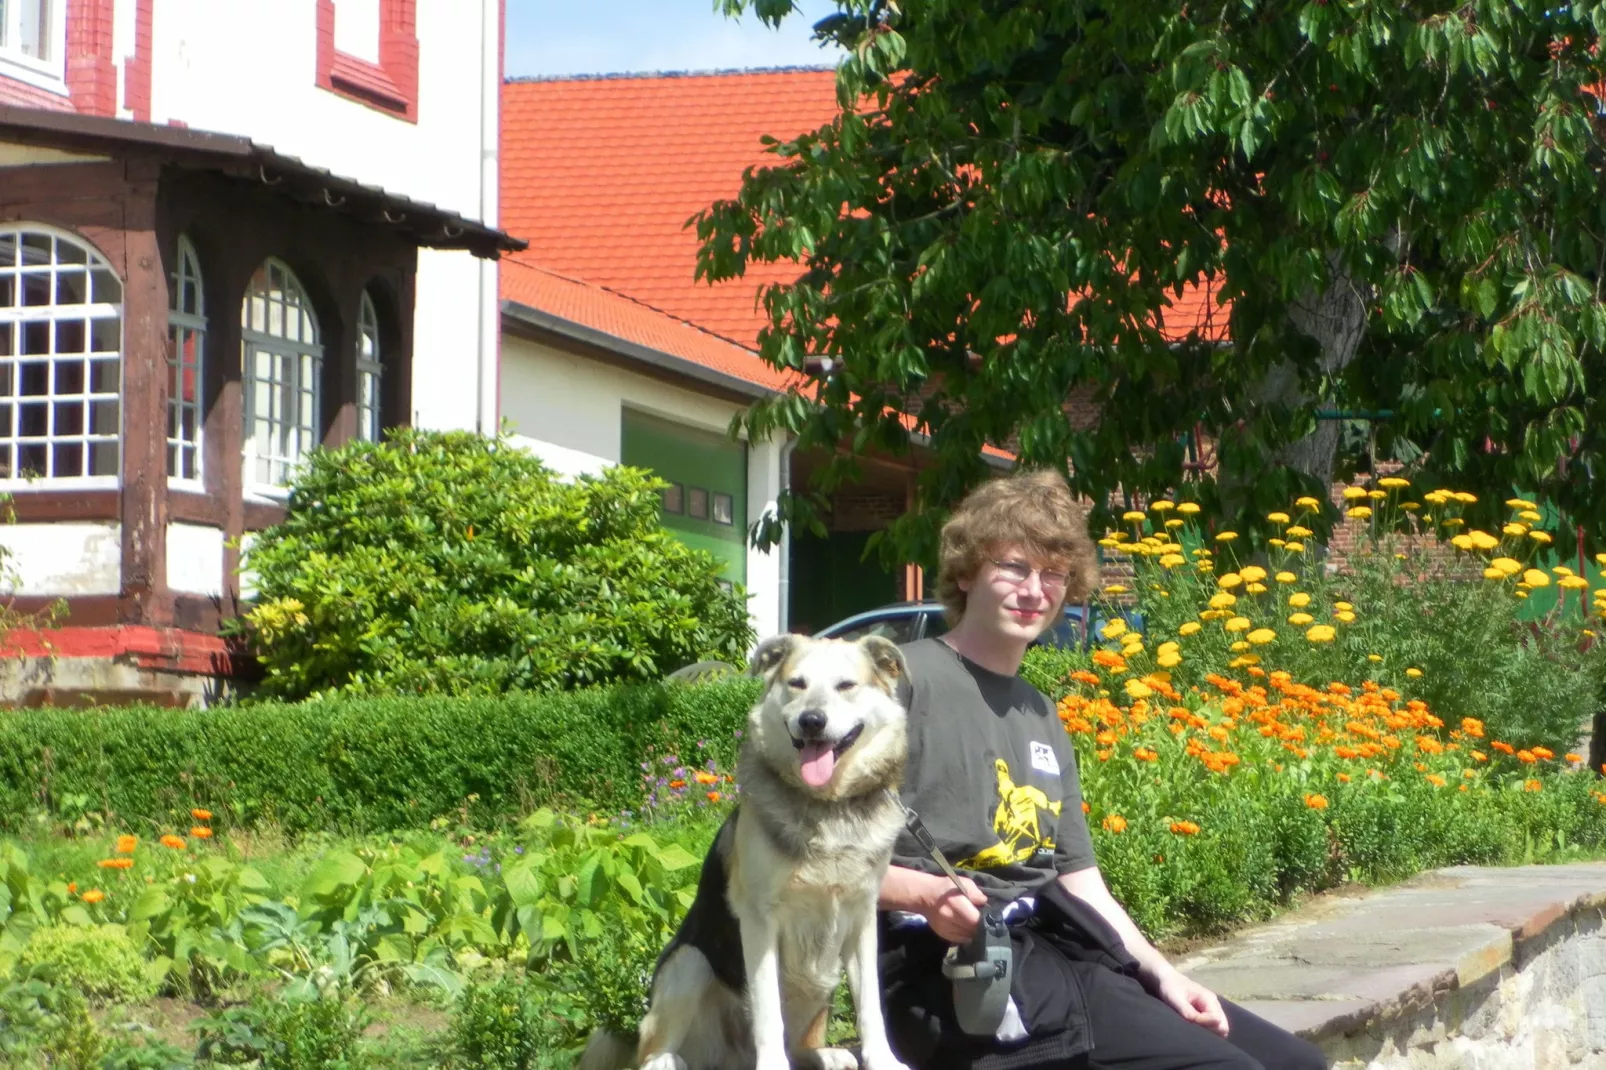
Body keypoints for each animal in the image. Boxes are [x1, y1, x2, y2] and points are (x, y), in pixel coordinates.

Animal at [584, 633, 918, 1066]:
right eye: (797, 683)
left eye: (846, 686)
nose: (812, 721)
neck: (826, 805)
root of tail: (732, 1059)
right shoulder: (760, 921)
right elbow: (767, 1011)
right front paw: (772, 1064)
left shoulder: (862, 919)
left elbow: (870, 1007)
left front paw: (882, 1060)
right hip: (689, 963)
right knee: (651, 1051)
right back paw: (668, 1059)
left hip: (820, 983)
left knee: (801, 1043)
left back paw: (822, 1054)